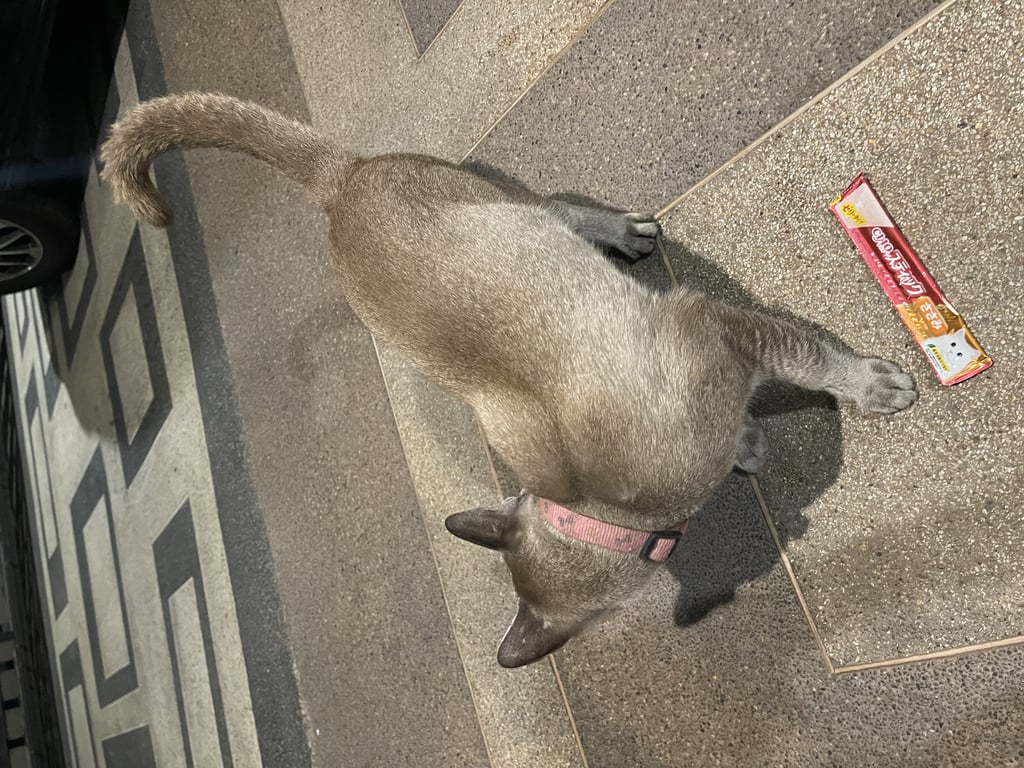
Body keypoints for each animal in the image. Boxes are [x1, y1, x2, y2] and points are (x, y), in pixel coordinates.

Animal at [100, 92, 916, 667]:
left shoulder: (721, 328)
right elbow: (776, 392)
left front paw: (880, 389)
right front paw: (753, 444)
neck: (603, 506)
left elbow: (818, 358)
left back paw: (625, 234)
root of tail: (339, 186)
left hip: (502, 203)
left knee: (560, 209)